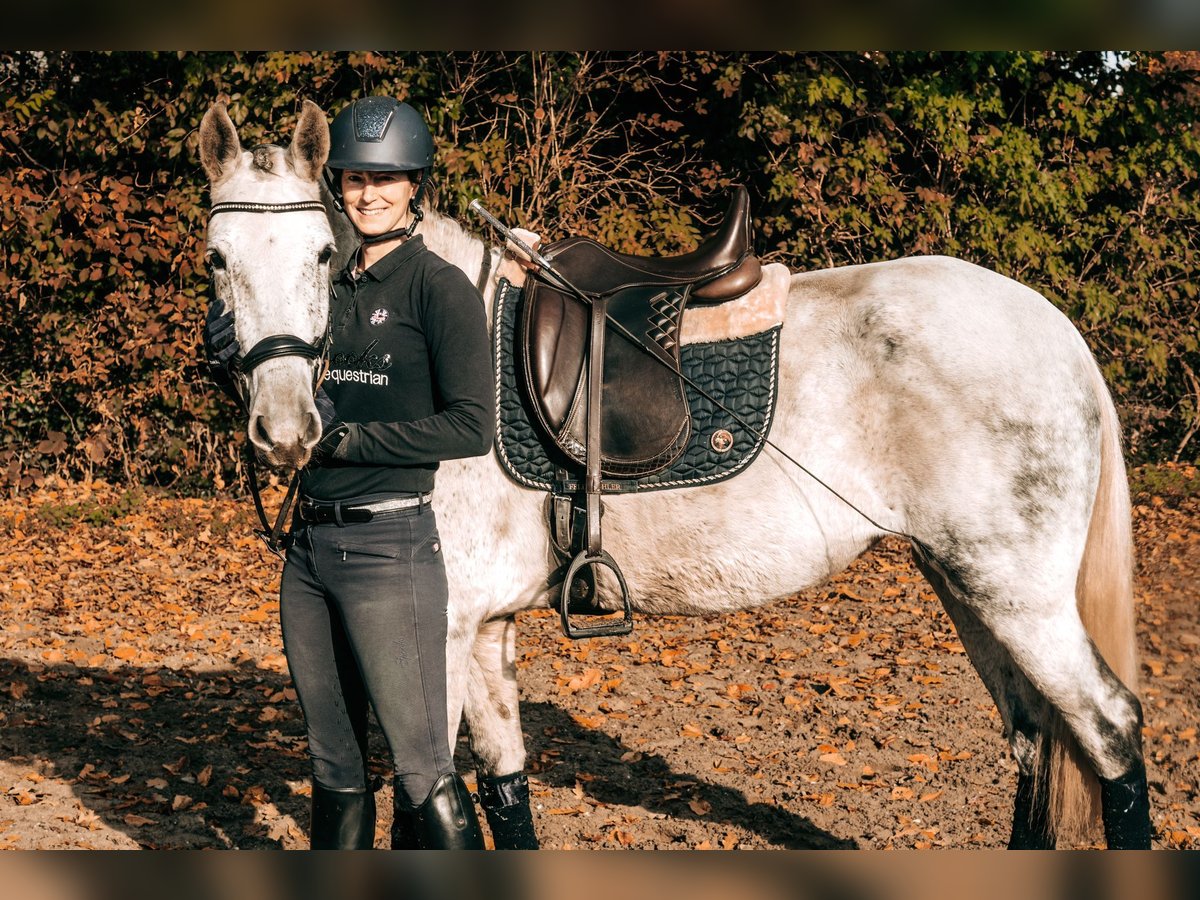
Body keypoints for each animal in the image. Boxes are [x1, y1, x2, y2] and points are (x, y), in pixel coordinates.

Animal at [199, 105, 1152, 854]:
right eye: (217, 258)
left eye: (324, 255)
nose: (285, 429)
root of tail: (1056, 331)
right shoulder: (483, 625)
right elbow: (503, 788)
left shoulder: (439, 625)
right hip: (966, 585)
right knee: (1036, 740)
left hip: (1015, 592)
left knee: (1108, 730)